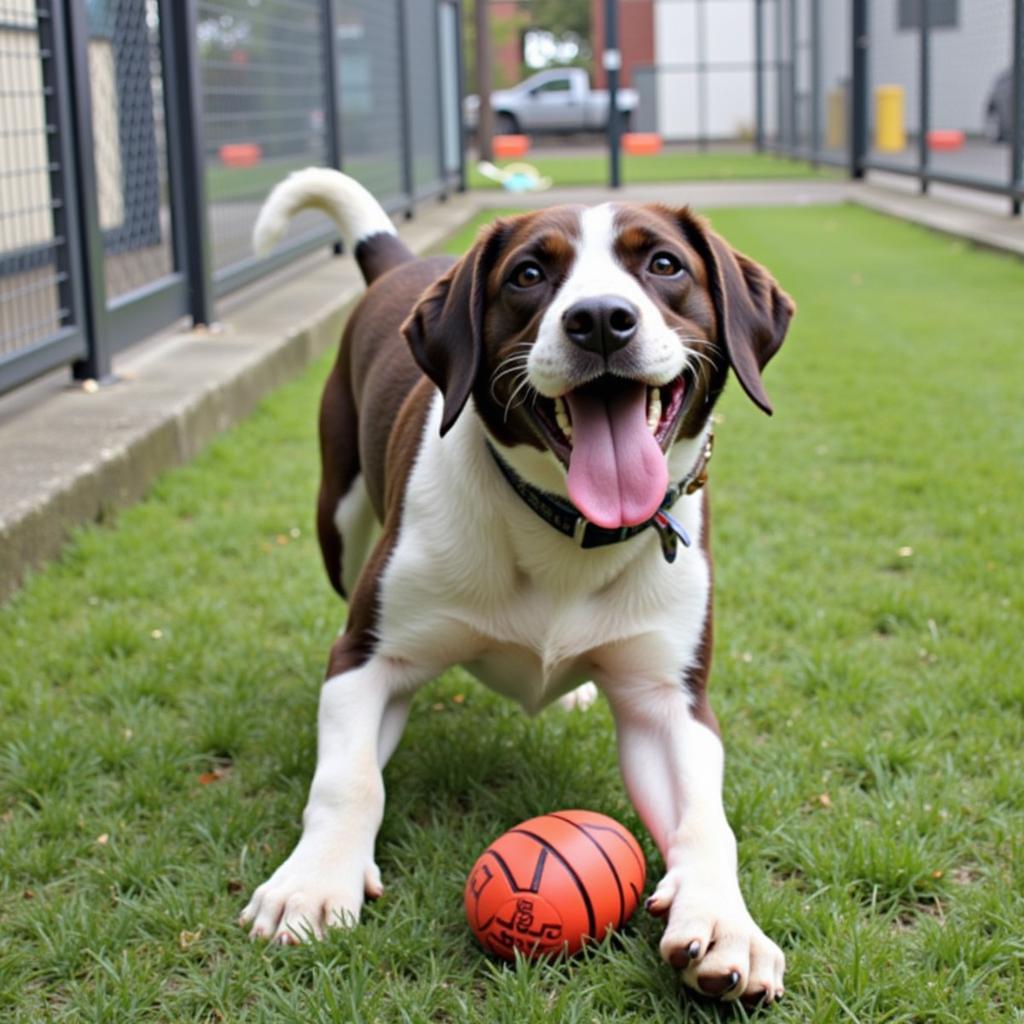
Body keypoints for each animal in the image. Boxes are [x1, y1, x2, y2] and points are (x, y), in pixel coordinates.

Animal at [243, 172, 794, 1003]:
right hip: (337, 518)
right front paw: (312, 883)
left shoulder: (669, 701)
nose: (600, 320)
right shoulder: (365, 659)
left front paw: (727, 921)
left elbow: (706, 817)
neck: (567, 528)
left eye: (664, 264)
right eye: (530, 274)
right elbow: (348, 780)